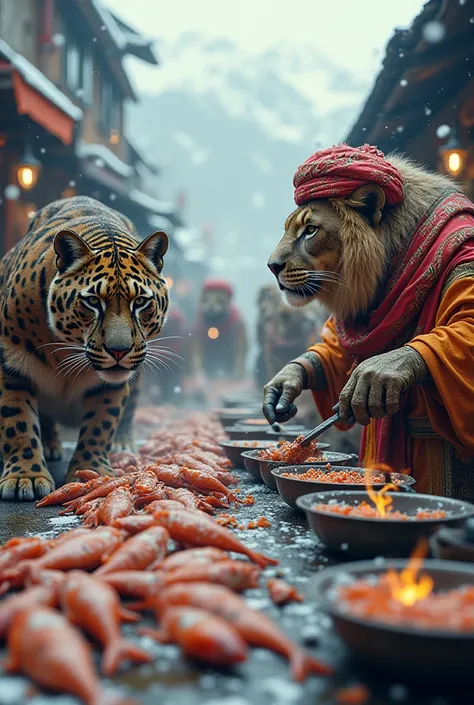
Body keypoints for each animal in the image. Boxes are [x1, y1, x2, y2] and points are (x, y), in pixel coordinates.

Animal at [0, 194, 168, 500]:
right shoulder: (10, 361)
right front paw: (25, 477)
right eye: (92, 301)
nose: (119, 351)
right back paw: (50, 446)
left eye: (140, 302)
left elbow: (100, 424)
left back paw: (123, 443)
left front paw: (91, 471)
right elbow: (16, 421)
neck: (66, 353)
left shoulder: (112, 385)